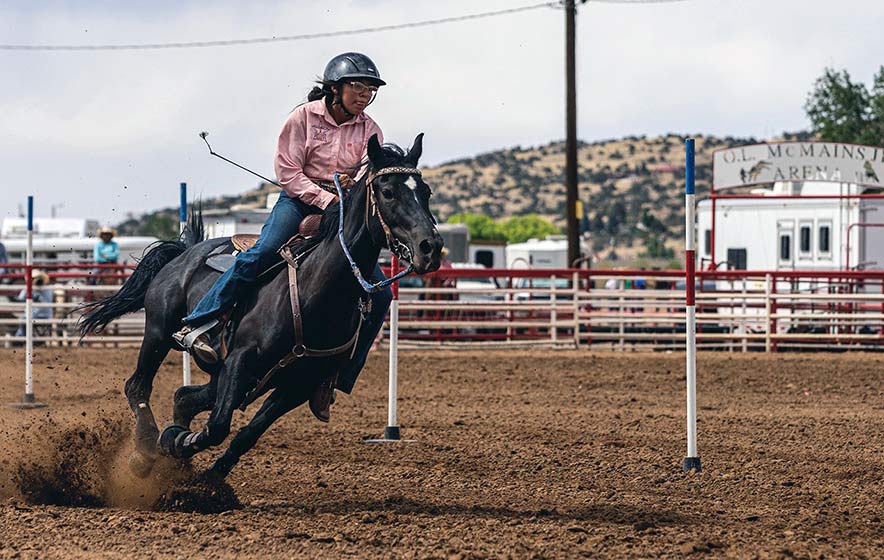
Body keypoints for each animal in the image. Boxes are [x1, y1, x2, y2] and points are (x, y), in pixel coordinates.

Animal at [79, 133, 442, 480]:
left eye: (425, 191)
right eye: (388, 191)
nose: (431, 247)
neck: (316, 293)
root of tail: (185, 252)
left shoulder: (298, 385)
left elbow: (245, 435)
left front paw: (208, 476)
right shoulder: (240, 360)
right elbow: (218, 426)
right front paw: (178, 442)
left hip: (223, 372)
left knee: (184, 396)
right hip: (159, 331)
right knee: (138, 385)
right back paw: (145, 452)